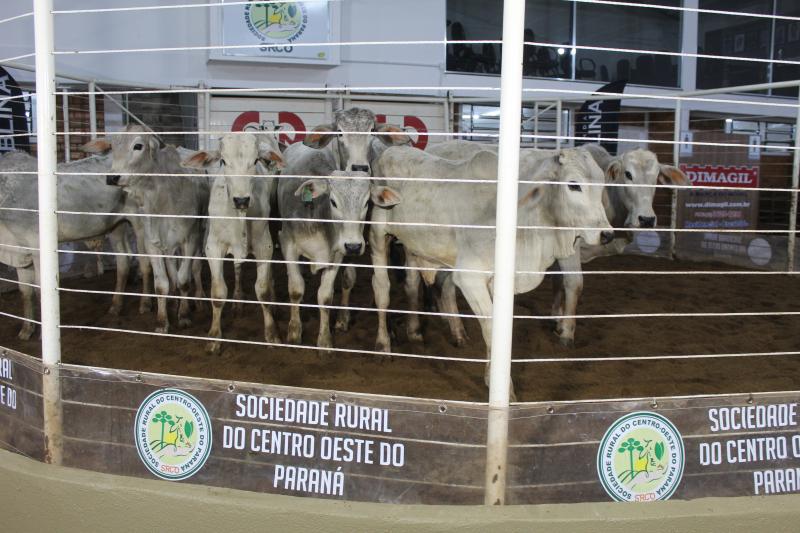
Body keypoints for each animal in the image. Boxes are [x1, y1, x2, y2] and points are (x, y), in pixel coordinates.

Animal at [0, 152, 136, 338]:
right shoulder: (19, 252)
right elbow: (25, 291)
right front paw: (26, 330)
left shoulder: (37, 249)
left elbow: (41, 290)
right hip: (117, 227)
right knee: (124, 259)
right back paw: (116, 306)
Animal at [82, 125, 209, 332]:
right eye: (112, 146)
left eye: (138, 146)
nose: (112, 177)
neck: (163, 199)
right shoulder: (153, 243)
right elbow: (161, 284)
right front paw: (162, 321)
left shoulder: (189, 239)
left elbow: (184, 279)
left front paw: (183, 315)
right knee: (172, 268)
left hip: (200, 231)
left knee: (195, 268)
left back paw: (198, 298)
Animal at [181, 131, 284, 354]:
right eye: (223, 161)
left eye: (255, 161)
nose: (241, 200)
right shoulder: (213, 247)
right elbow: (218, 293)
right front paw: (214, 337)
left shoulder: (264, 246)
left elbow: (262, 290)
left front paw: (272, 333)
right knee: (237, 267)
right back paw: (238, 300)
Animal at [370, 145, 612, 390]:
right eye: (574, 184)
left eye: (602, 184)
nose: (607, 234)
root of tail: (392, 149)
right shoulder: (469, 277)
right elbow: (491, 326)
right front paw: (505, 387)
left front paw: (491, 376)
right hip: (378, 234)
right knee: (382, 289)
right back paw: (383, 345)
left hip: (415, 247)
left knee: (415, 285)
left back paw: (425, 331)